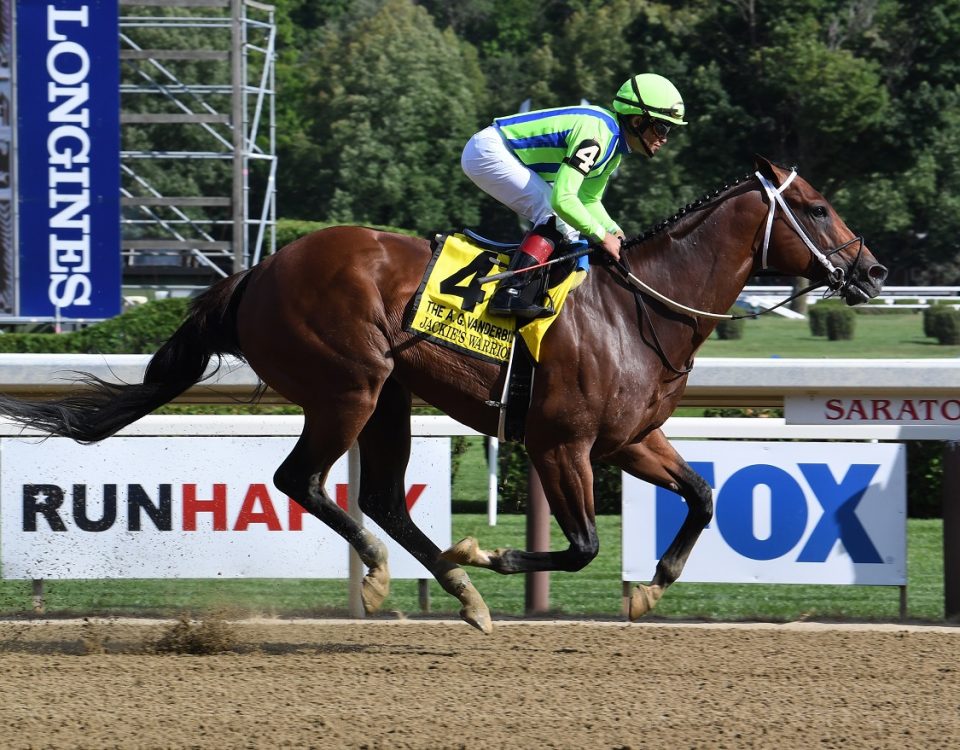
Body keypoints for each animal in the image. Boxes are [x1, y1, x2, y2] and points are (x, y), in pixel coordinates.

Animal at [0, 159, 884, 636]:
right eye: (816, 207)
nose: (872, 271)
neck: (641, 306)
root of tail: (259, 270)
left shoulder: (630, 440)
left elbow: (700, 495)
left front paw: (649, 587)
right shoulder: (560, 443)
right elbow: (582, 545)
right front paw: (488, 554)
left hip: (389, 396)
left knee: (385, 497)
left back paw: (458, 594)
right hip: (349, 386)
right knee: (304, 481)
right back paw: (392, 574)